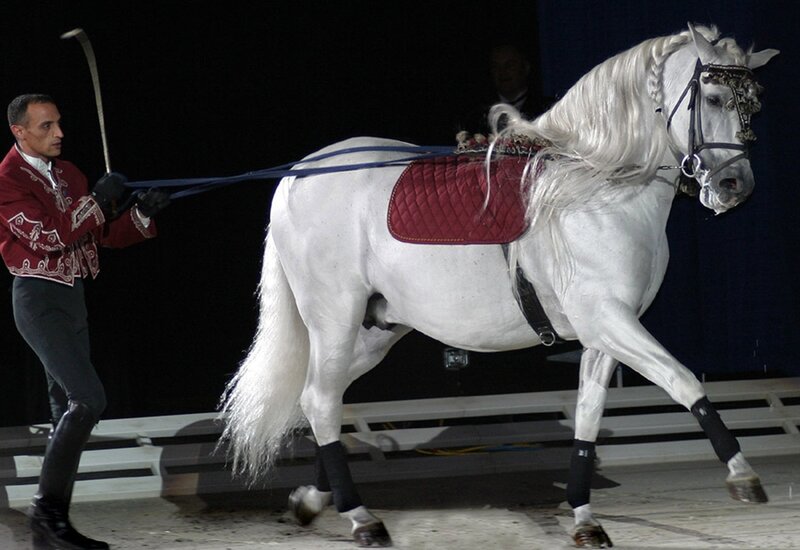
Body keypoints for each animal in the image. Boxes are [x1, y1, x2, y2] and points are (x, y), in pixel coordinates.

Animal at [220, 24, 778, 548]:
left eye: (753, 103)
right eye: (713, 98)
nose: (735, 189)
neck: (597, 188)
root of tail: (297, 174)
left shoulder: (604, 333)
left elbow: (587, 418)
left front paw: (585, 520)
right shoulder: (608, 319)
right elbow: (684, 381)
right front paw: (743, 476)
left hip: (377, 329)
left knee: (325, 399)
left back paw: (312, 502)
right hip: (334, 317)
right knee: (319, 399)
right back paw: (362, 519)